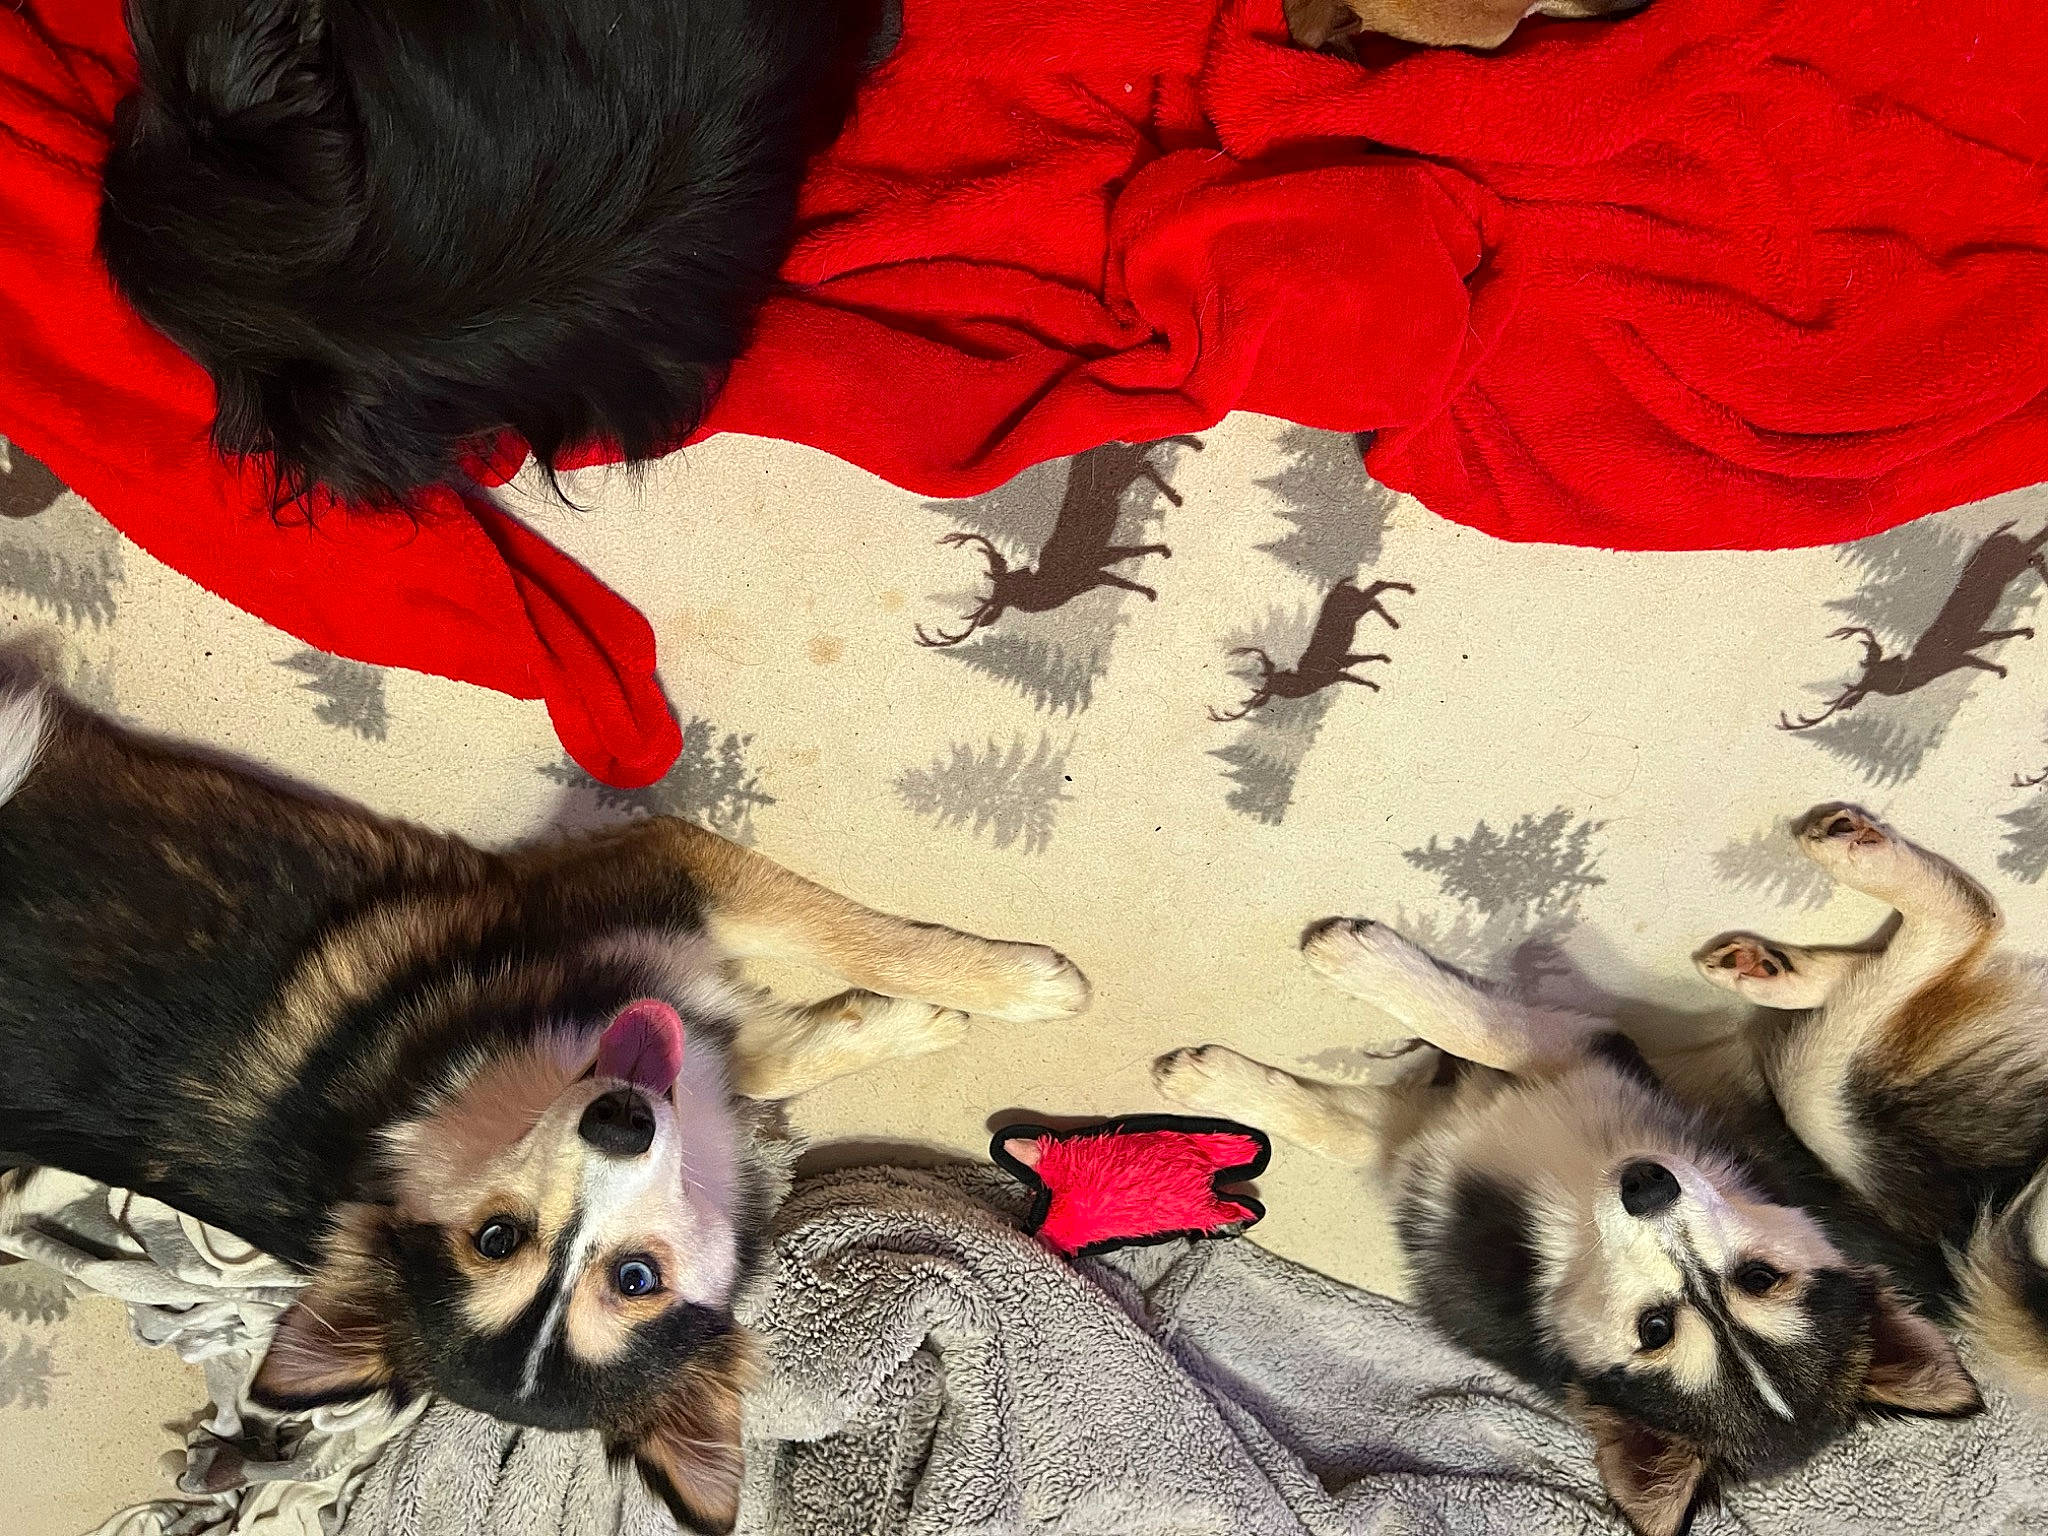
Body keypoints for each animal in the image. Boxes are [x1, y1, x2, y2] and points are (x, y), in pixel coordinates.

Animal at [915, 437, 1203, 648]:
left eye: (1009, 587)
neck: (1051, 585)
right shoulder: (1095, 569)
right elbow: (1122, 568)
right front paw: (1158, 567)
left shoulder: (1091, 565)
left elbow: (1124, 568)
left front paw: (1154, 579)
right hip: (1120, 474)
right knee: (1143, 458)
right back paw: (1189, 458)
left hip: (1118, 472)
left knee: (1143, 458)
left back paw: (1186, 469)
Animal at [1208, 578, 1414, 723]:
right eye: (1274, 685)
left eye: (1280, 684)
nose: (1265, 692)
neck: (1308, 679)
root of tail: (1340, 587)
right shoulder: (1337, 672)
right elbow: (1357, 676)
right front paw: (1376, 682)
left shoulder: (1338, 665)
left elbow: (1362, 663)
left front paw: (1384, 661)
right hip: (1357, 607)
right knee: (1374, 592)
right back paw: (1399, 611)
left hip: (1356, 607)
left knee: (1375, 594)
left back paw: (1403, 603)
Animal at [1779, 520, 2048, 731]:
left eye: (1879, 675)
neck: (1922, 669)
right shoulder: (1965, 647)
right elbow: (1988, 643)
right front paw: (2021, 642)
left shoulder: (1957, 652)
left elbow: (1986, 648)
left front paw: (2009, 658)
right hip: (2014, 564)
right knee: (2036, 555)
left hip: (2012, 563)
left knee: (2035, 552)